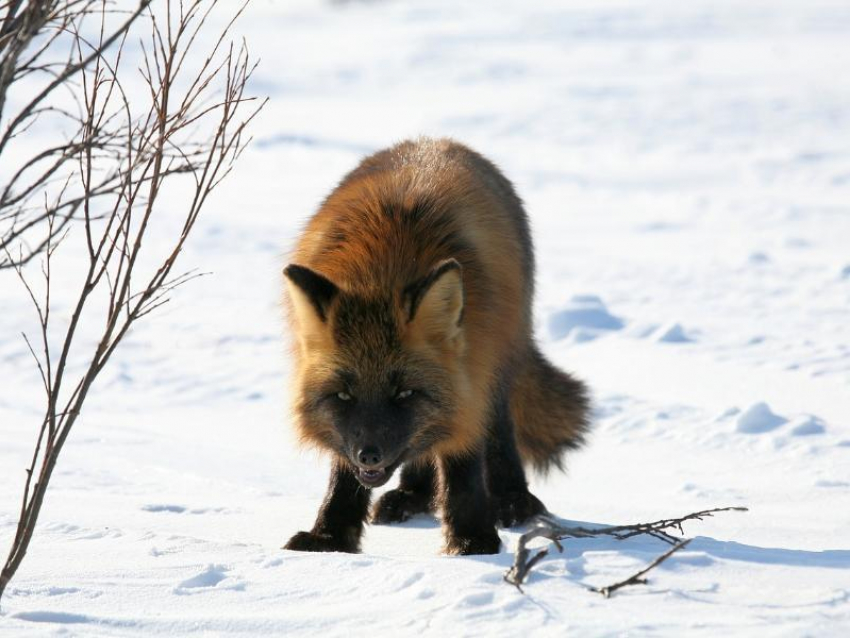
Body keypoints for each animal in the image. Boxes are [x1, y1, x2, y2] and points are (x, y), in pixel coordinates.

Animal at [282, 139, 588, 556]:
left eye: (405, 394)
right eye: (343, 395)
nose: (370, 454)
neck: (385, 268)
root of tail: (440, 141)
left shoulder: (475, 369)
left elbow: (463, 459)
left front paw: (472, 541)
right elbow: (343, 470)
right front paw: (330, 537)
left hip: (499, 363)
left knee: (494, 435)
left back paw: (511, 501)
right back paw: (413, 495)